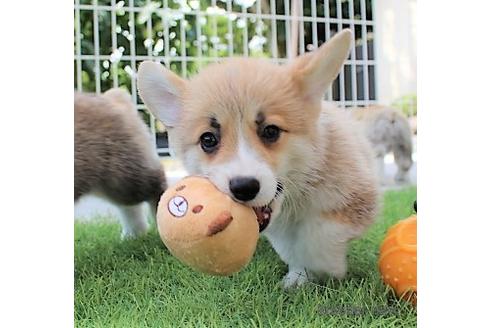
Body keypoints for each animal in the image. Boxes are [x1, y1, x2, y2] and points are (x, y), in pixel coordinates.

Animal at [136, 30, 378, 288]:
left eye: (271, 131)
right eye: (208, 139)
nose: (244, 188)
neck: (298, 194)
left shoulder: (357, 197)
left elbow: (318, 236)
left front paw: (329, 269)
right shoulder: (282, 230)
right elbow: (293, 250)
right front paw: (298, 277)